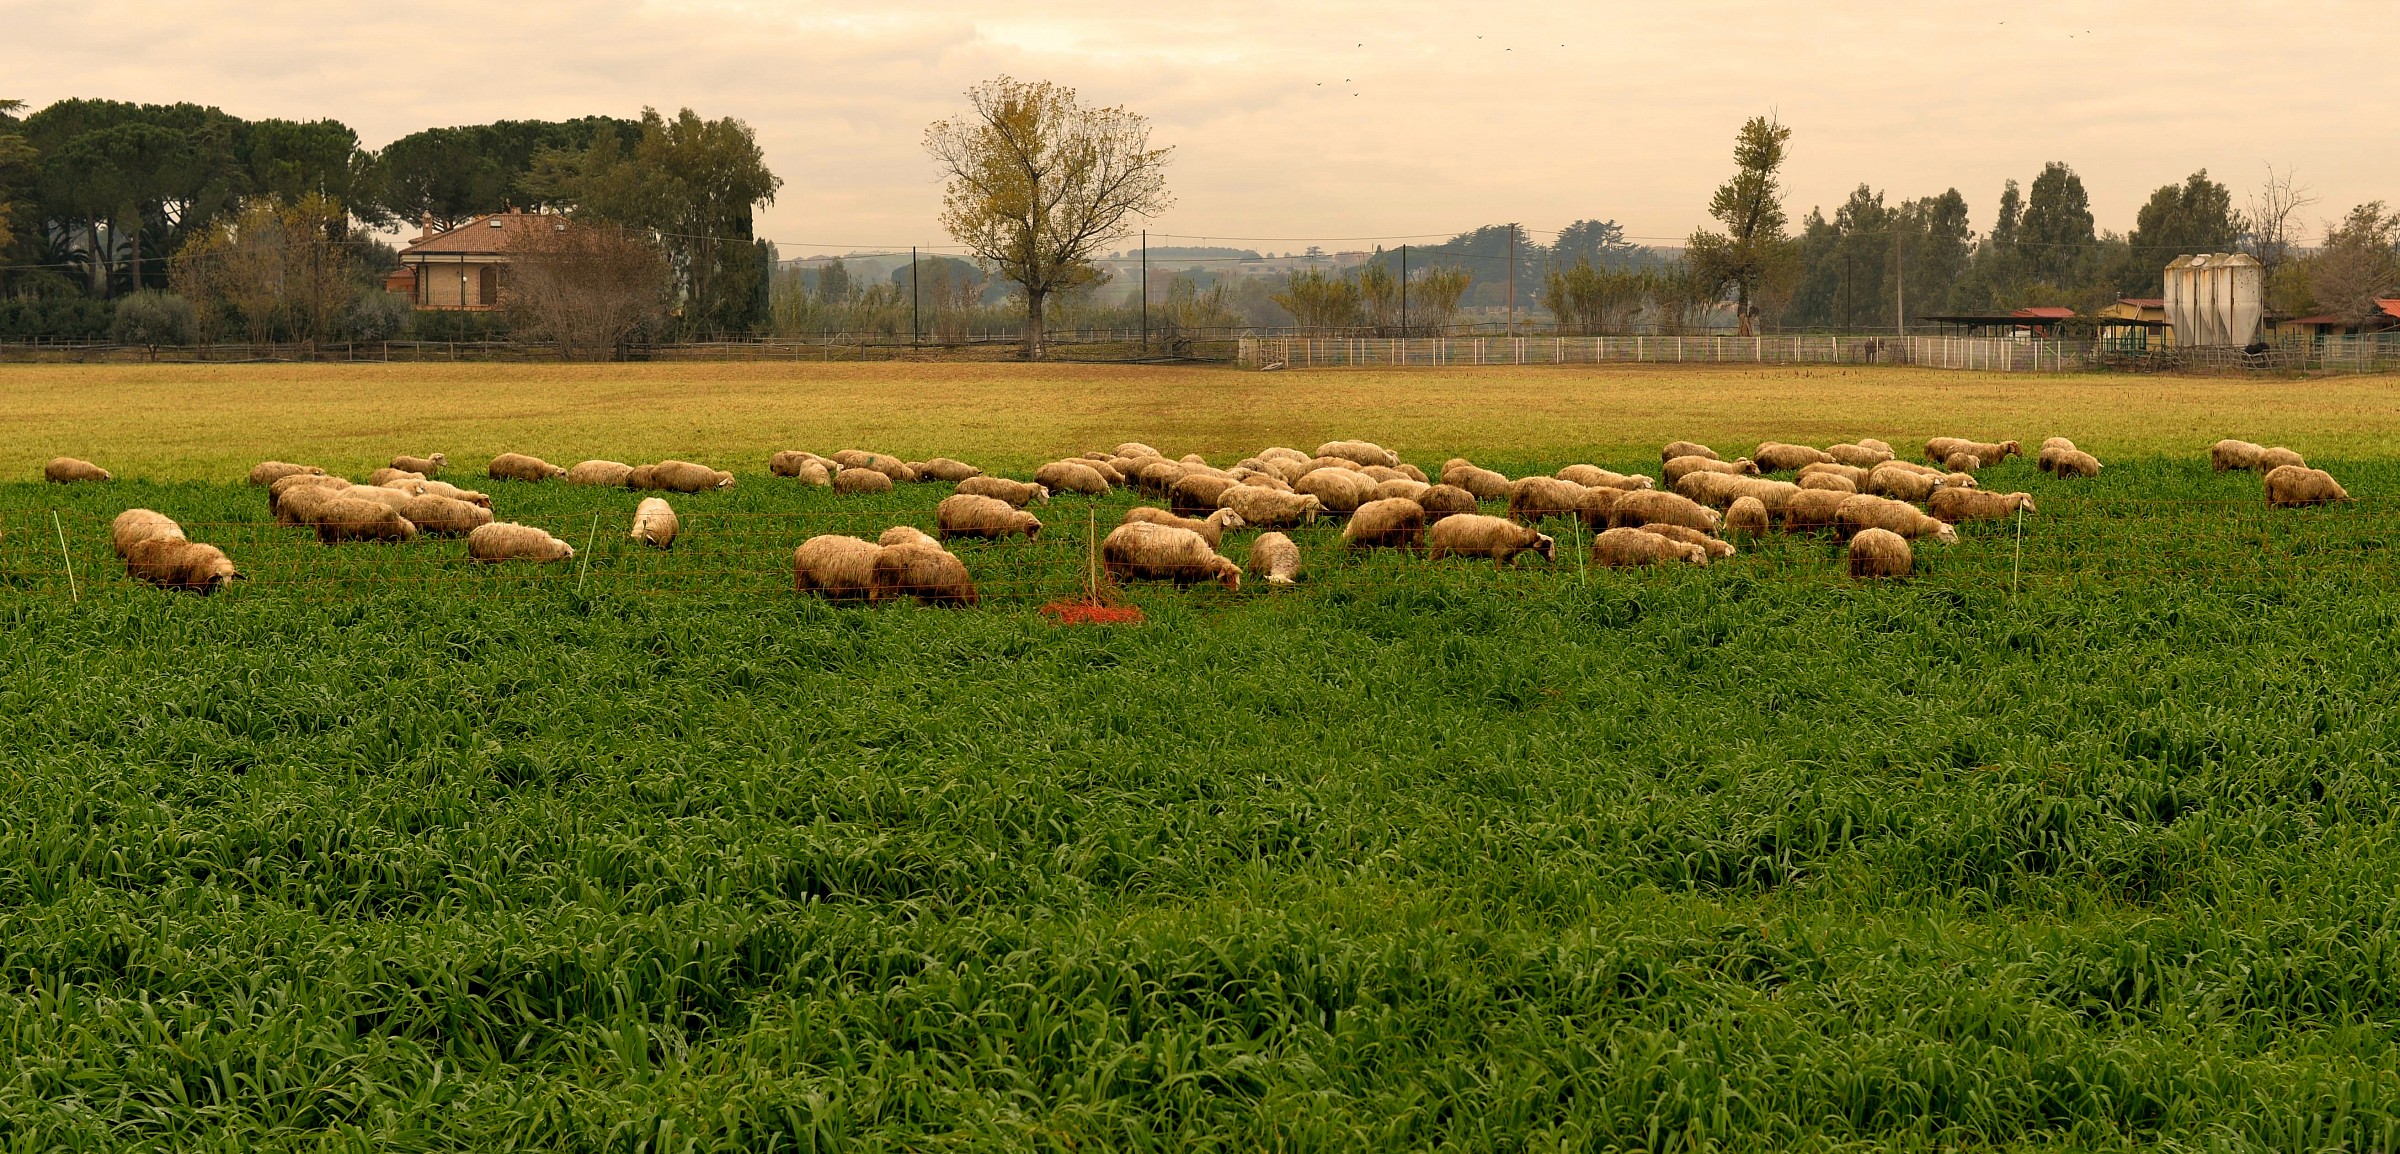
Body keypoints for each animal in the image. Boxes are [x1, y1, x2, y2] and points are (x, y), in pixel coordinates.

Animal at [1102, 522, 1241, 590]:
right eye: (1229, 577)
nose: (1236, 592)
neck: (1206, 561)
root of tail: (1109, 539)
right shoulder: (1185, 574)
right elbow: (1183, 591)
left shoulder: (1179, 573)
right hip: (1122, 568)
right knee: (1121, 586)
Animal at [1426, 514, 1555, 565]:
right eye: (1547, 544)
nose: (1553, 560)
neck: (1518, 536)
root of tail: (1435, 526)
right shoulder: (1499, 555)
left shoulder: (1507, 556)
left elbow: (1516, 566)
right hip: (1439, 548)